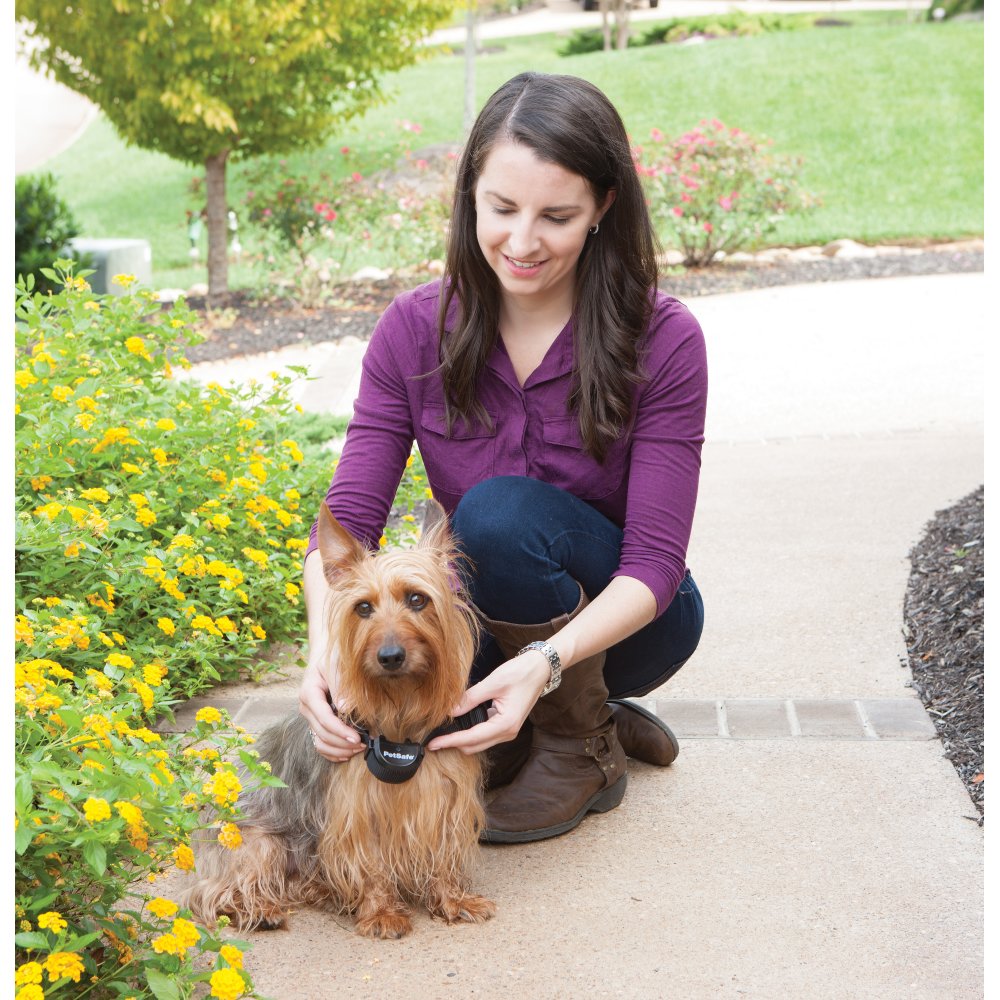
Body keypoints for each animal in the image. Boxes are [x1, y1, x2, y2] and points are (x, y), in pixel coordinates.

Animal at [184, 501, 495, 939]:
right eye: (363, 607)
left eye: (418, 599)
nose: (389, 655)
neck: (399, 711)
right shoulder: (356, 811)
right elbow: (370, 864)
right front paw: (382, 912)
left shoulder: (443, 799)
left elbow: (443, 853)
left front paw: (454, 898)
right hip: (258, 839)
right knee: (214, 891)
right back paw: (259, 909)